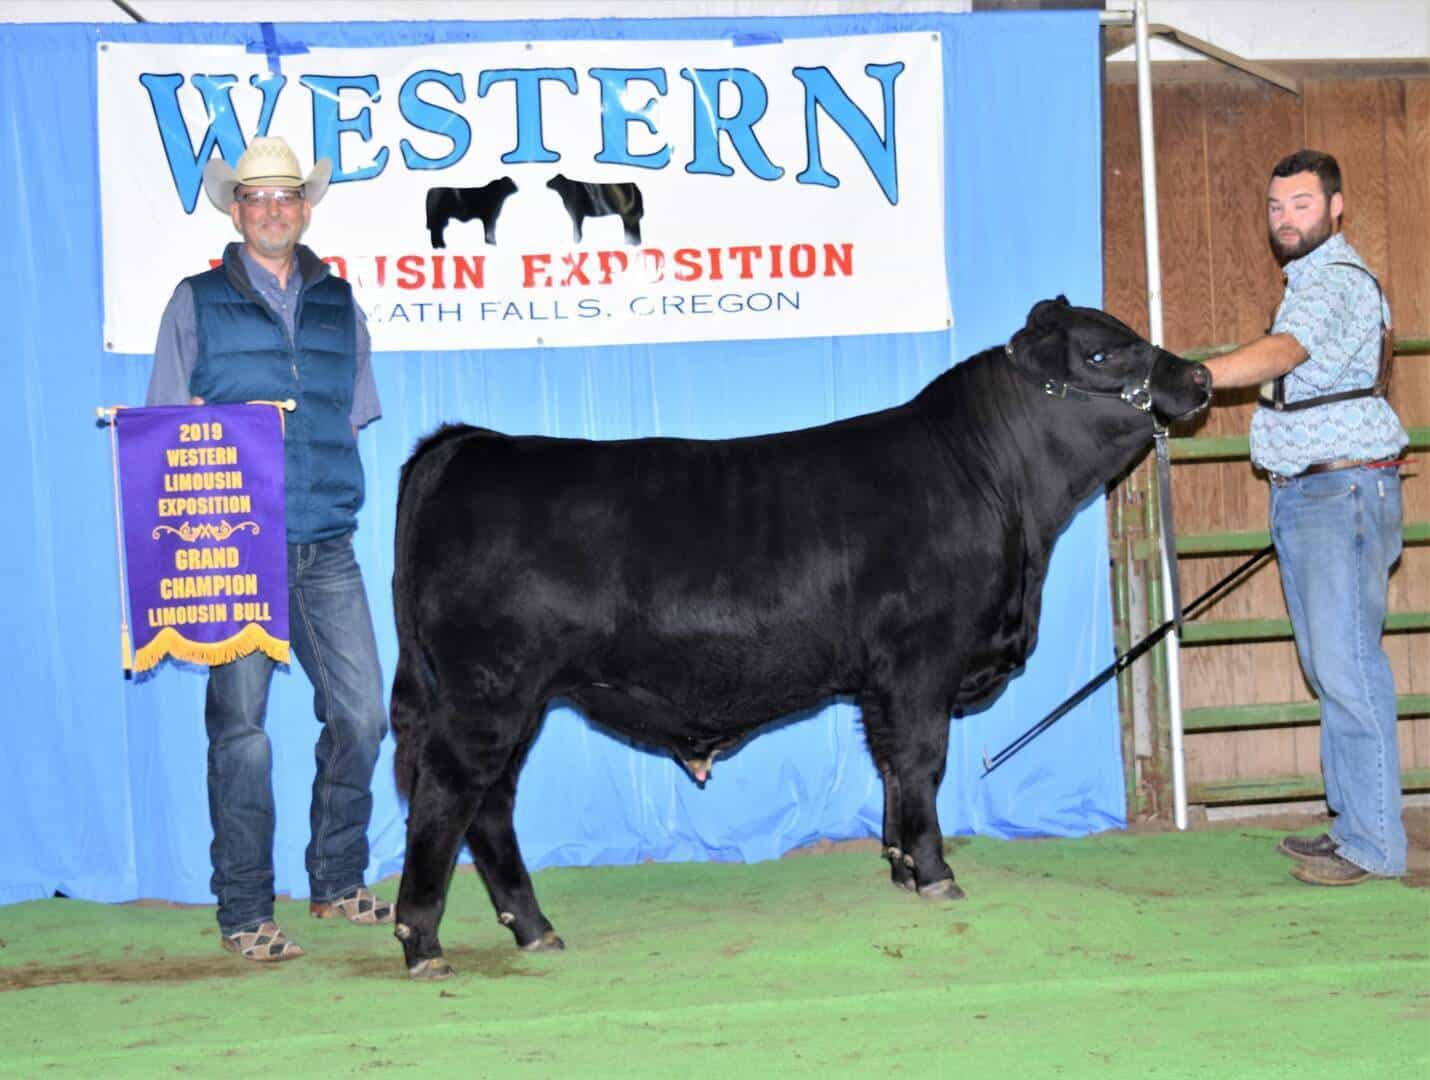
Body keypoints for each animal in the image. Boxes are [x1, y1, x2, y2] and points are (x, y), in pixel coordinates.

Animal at [388, 297, 1211, 979]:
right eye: (1103, 355)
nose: (1201, 376)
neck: (995, 490)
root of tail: (470, 444)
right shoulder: (922, 662)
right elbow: (923, 762)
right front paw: (937, 875)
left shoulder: (882, 681)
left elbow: (891, 766)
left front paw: (899, 864)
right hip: (490, 689)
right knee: (451, 792)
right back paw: (424, 940)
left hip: (507, 697)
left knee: (490, 802)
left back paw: (533, 929)